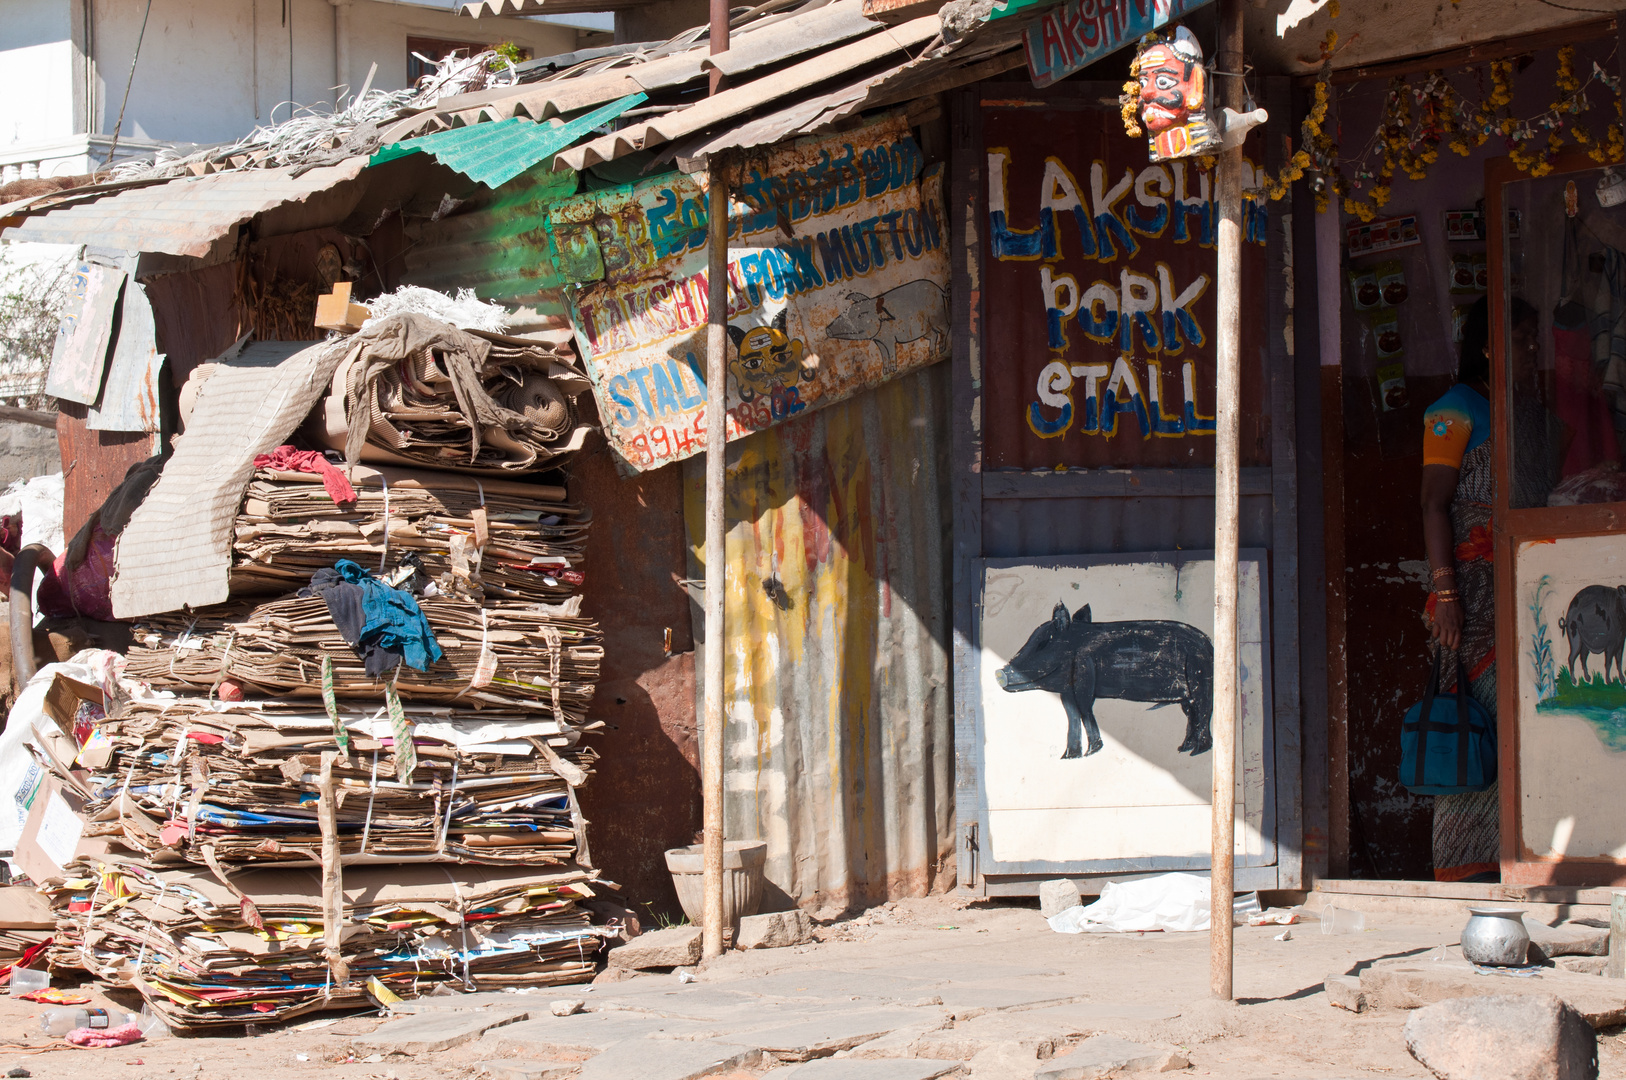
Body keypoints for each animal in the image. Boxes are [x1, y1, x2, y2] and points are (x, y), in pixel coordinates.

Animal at [995, 598, 1216, 757]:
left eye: (1042, 644)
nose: (1000, 671)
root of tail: (1210, 645)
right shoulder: (1067, 691)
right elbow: (1071, 717)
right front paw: (1069, 757)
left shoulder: (1085, 681)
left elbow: (1085, 712)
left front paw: (1091, 752)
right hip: (1187, 698)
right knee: (1192, 718)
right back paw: (1183, 749)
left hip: (1200, 684)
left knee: (1204, 715)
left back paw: (1196, 752)